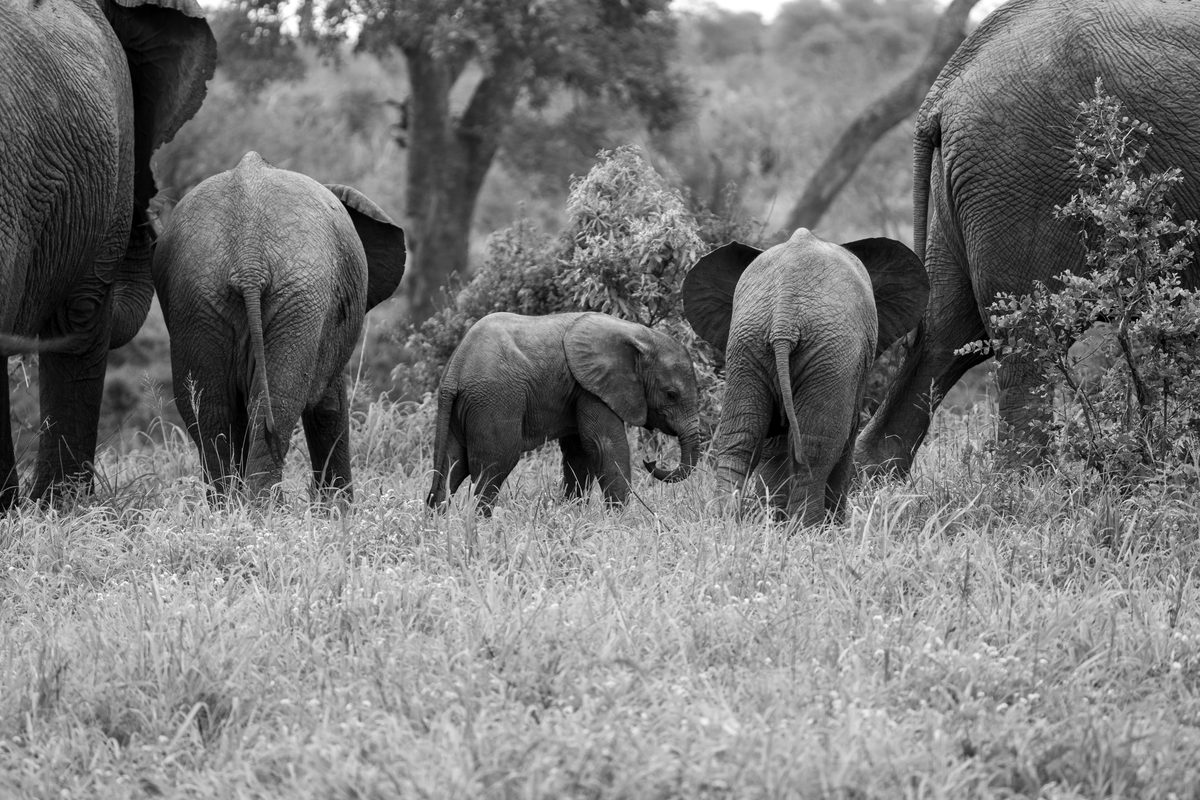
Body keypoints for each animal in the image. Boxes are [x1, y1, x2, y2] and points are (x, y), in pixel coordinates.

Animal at [152, 152, 407, 502]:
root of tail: (249, 258)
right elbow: (330, 407)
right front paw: (339, 510)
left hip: (197, 296)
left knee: (212, 409)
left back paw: (231, 507)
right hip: (299, 296)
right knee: (278, 402)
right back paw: (265, 507)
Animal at [425, 311, 702, 514]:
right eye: (671, 394)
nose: (650, 461)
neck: (638, 333)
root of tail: (456, 367)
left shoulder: (581, 388)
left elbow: (579, 452)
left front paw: (572, 514)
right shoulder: (593, 387)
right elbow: (605, 444)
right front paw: (622, 520)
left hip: (460, 406)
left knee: (451, 465)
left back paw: (438, 524)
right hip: (494, 399)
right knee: (495, 464)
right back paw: (480, 523)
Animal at [683, 228, 928, 525]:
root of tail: (783, 316)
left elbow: (773, 441)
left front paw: (772, 520)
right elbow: (846, 433)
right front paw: (834, 525)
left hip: (747, 343)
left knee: (739, 439)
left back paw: (725, 521)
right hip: (830, 351)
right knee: (816, 447)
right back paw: (808, 528)